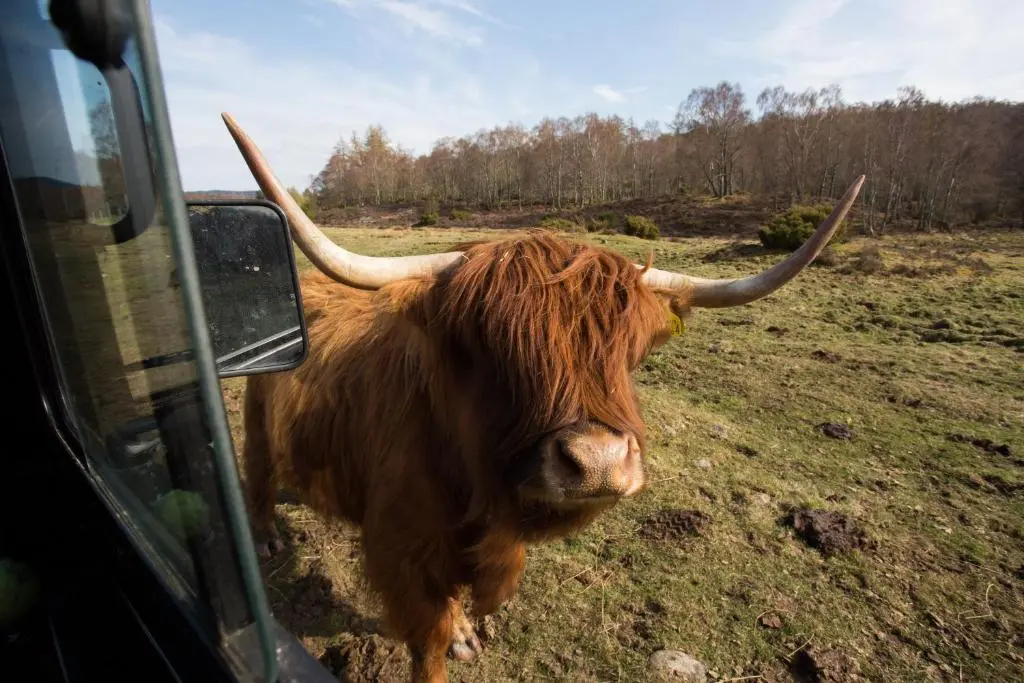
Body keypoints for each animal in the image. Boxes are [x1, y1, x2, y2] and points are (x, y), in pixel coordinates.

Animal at [221, 112, 864, 683]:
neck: (473, 489)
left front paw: (465, 632)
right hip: (256, 412)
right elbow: (427, 641)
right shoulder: (406, 554)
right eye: (486, 344)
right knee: (256, 467)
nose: (598, 464)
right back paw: (266, 534)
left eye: (629, 352)